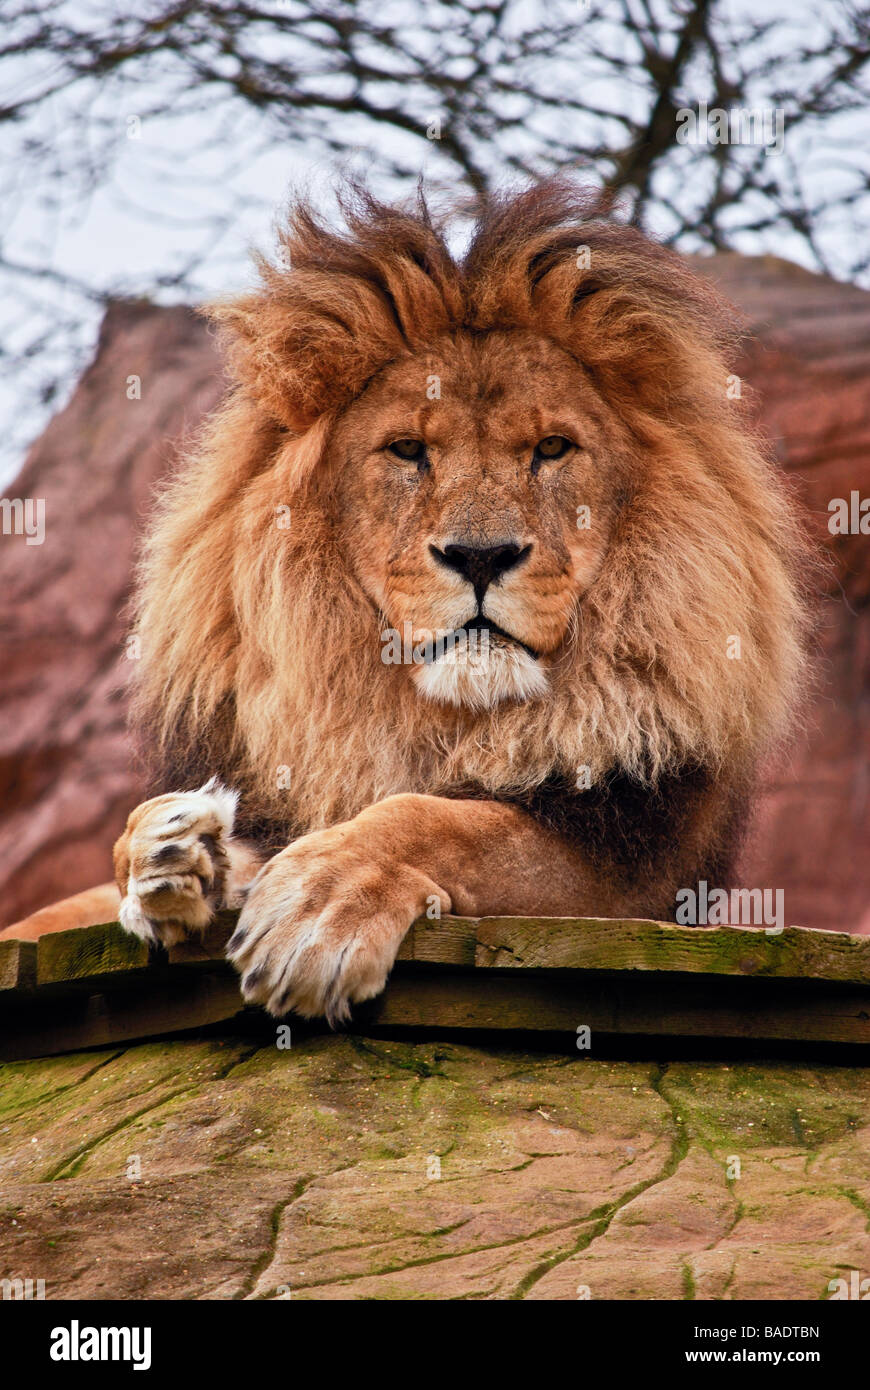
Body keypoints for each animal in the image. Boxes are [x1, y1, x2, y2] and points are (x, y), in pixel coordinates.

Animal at [3, 176, 811, 1023]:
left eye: (552, 449)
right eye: (408, 450)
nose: (481, 556)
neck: (439, 717)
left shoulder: (636, 878)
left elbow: (445, 820)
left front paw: (316, 910)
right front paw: (171, 849)